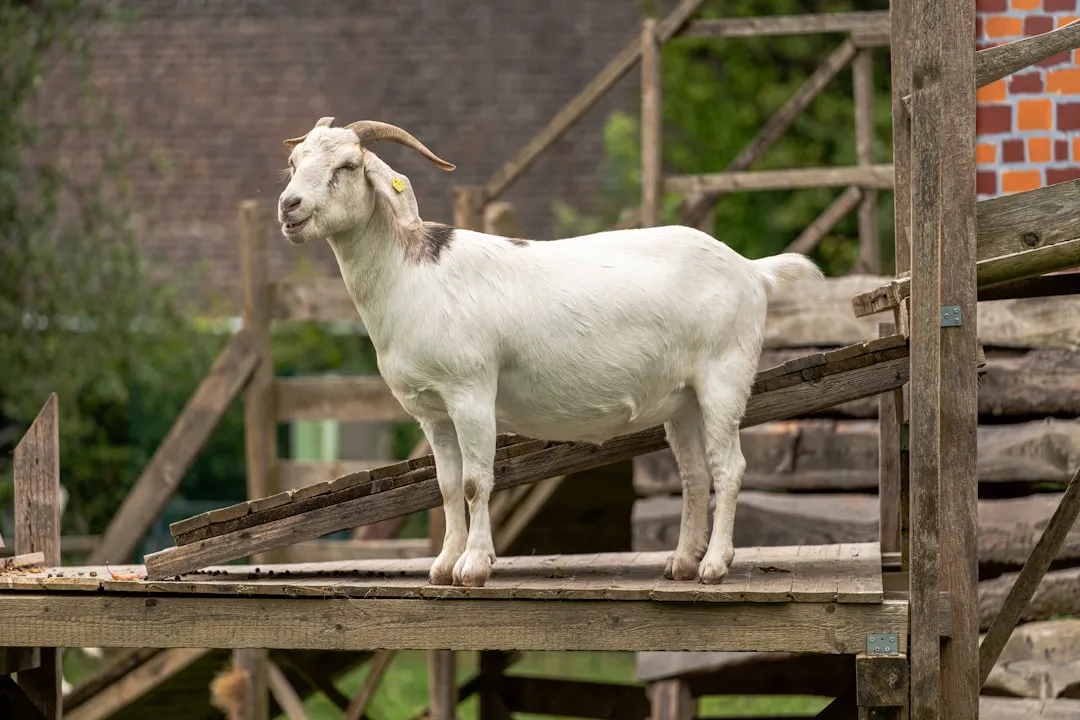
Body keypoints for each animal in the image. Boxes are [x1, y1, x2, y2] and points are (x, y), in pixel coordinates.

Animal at [276, 117, 823, 588]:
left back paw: (713, 565)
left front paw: (473, 567)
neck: (413, 277)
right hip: (683, 398)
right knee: (693, 472)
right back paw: (683, 562)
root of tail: (752, 270)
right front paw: (444, 565)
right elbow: (447, 486)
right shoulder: (432, 411)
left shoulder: (471, 392)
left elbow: (475, 482)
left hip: (723, 378)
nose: (289, 206)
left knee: (729, 467)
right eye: (294, 161)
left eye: (348, 164)